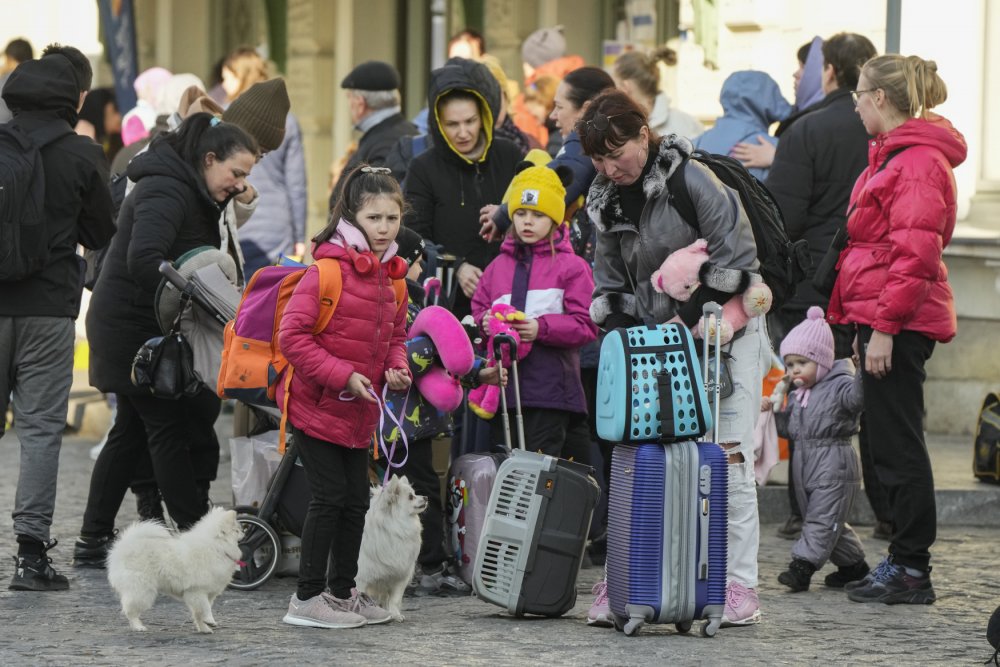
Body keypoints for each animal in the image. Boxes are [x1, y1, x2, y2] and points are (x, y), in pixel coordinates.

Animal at [106, 508, 243, 636]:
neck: (216, 547)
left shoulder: (207, 593)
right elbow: (205, 608)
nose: (244, 532)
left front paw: (204, 628)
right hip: (142, 591)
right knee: (130, 610)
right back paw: (137, 626)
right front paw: (210, 621)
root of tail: (123, 548)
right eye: (237, 530)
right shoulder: (197, 591)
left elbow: (199, 613)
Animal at [356, 474, 426, 620]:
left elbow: (394, 599)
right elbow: (358, 595)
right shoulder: (361, 579)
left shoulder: (399, 576)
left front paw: (394, 614)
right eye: (411, 497)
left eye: (415, 493)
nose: (426, 497)